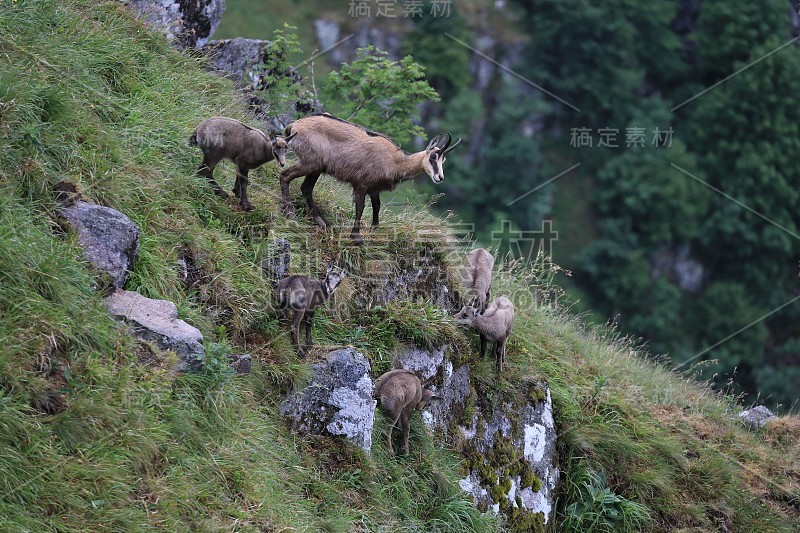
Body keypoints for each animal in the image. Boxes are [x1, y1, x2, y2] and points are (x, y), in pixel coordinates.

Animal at [280, 114, 462, 245]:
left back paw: (321, 222)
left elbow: (377, 206)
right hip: (310, 163)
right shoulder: (361, 185)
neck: (394, 161)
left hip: (316, 167)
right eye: (433, 157)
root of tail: (294, 126)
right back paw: (290, 213)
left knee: (306, 188)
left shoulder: (374, 189)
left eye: (443, 160)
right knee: (285, 175)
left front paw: (375, 229)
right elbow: (360, 208)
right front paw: (356, 237)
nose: (439, 177)